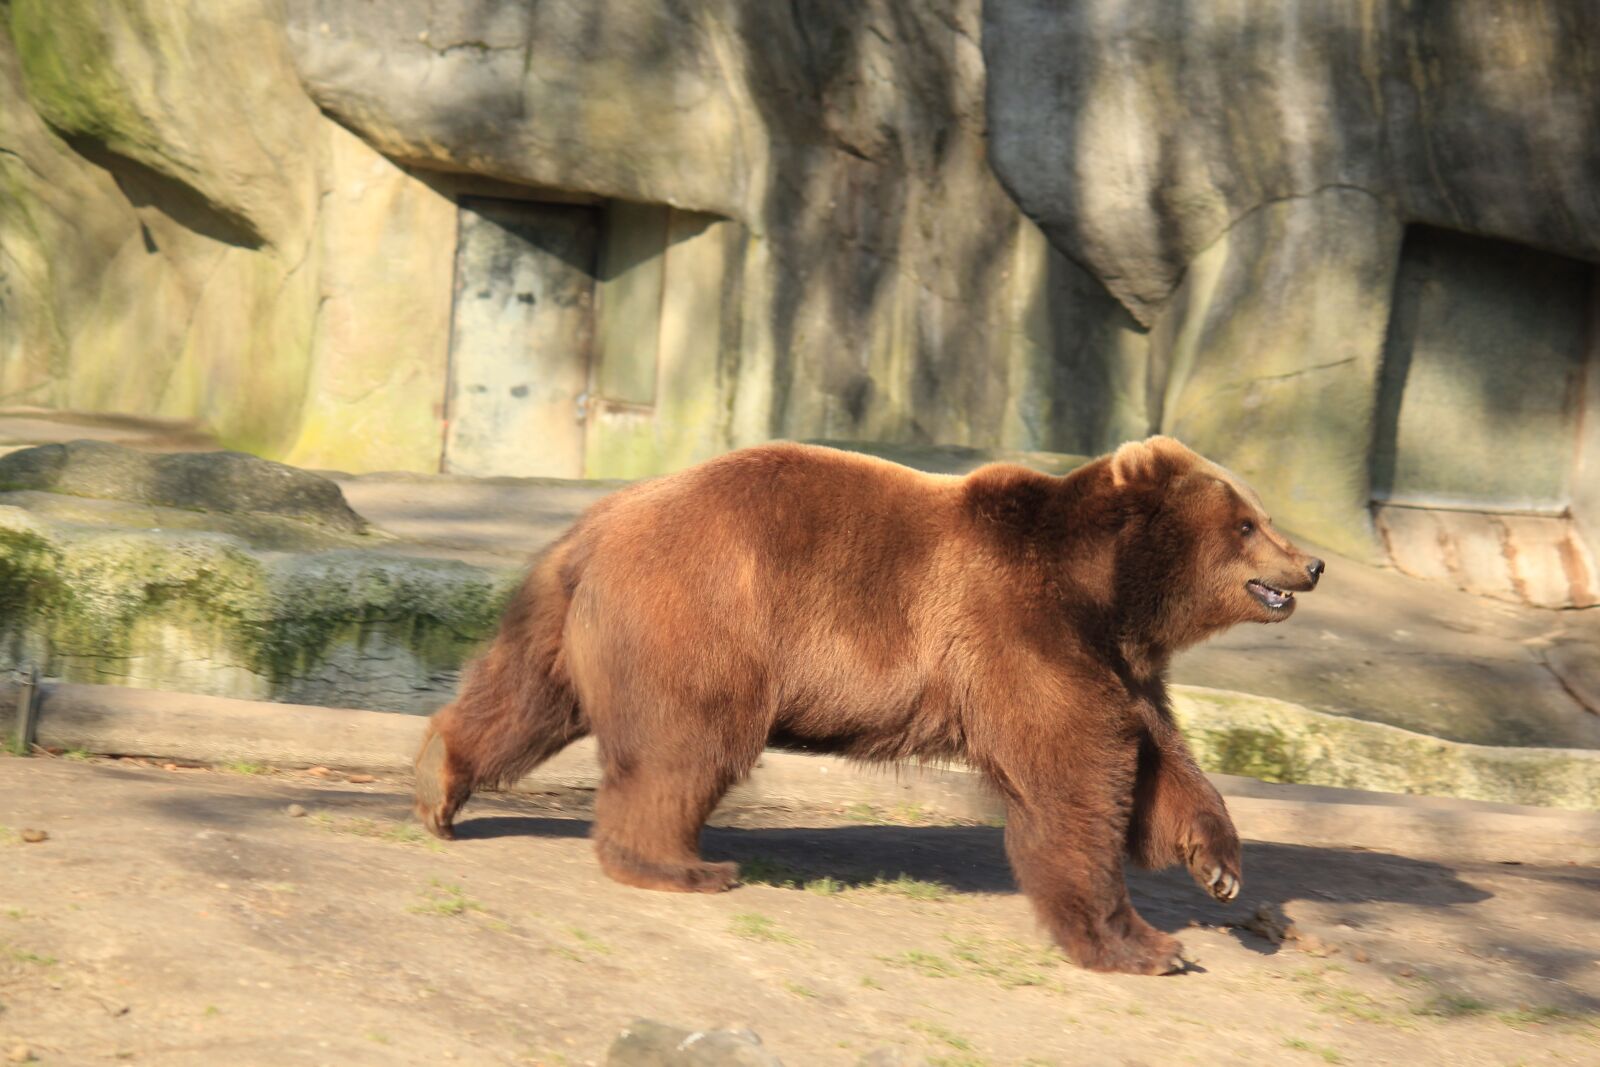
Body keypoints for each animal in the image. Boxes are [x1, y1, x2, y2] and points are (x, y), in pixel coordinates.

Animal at [413, 436, 1323, 975]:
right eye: (1248, 523)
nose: (1311, 564)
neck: (1107, 590)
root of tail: (597, 524)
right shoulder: (1018, 626)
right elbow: (1076, 780)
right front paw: (1137, 941)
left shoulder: (1115, 660)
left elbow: (1160, 762)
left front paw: (1219, 865)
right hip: (707, 616)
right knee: (686, 747)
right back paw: (681, 864)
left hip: (565, 620)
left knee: (522, 697)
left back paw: (438, 784)